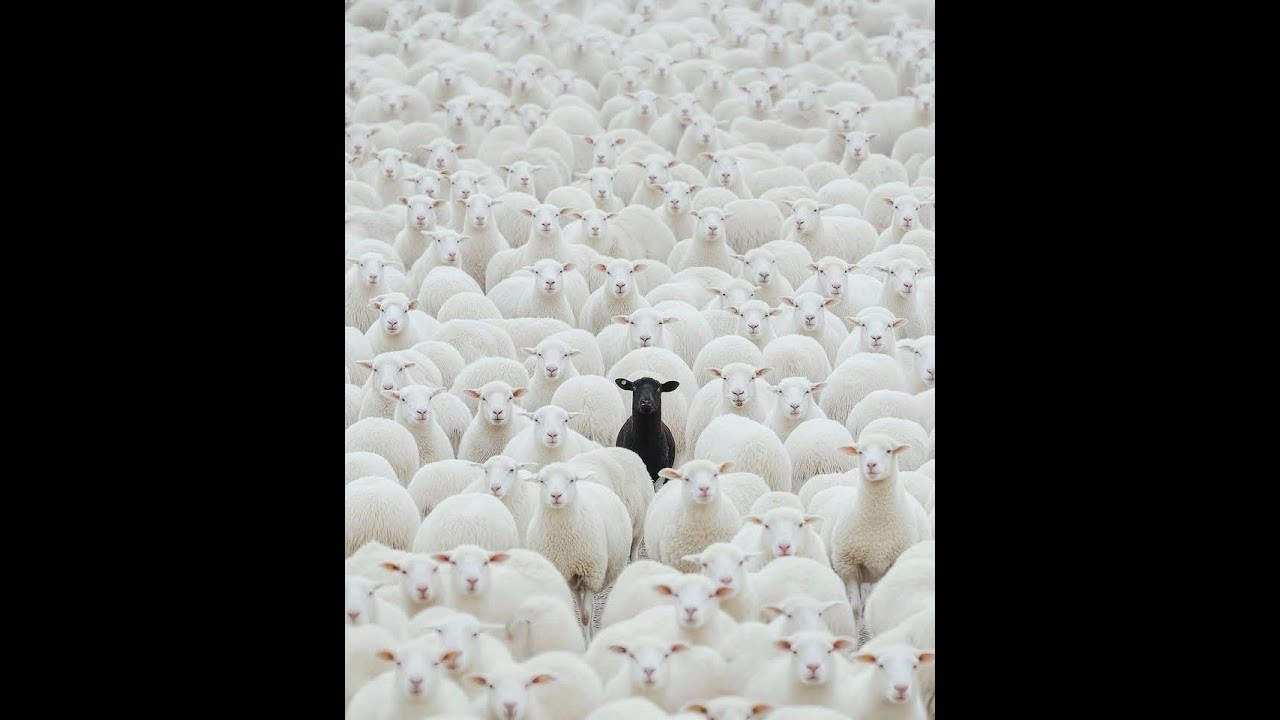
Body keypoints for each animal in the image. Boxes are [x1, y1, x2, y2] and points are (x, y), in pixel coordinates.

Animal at [524, 461, 632, 639]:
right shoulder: (566, 576)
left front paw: (587, 640)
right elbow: (578, 613)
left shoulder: (590, 575)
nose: (556, 495)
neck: (564, 544)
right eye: (542, 481)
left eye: (571, 480)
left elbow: (586, 616)